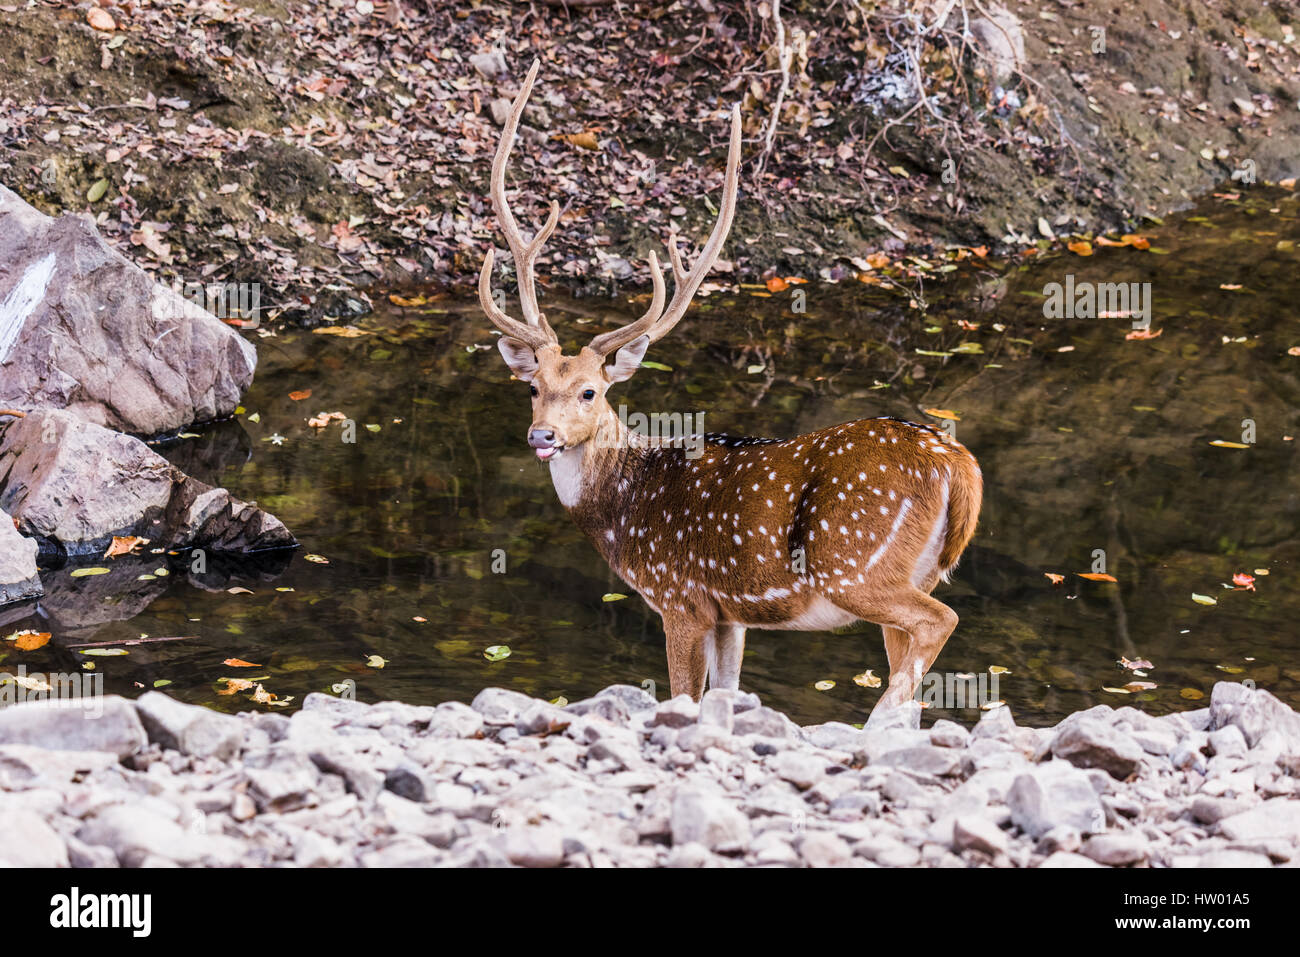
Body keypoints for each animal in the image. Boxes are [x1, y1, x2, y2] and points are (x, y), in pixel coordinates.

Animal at [483, 61, 977, 717]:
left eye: (591, 391)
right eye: (533, 388)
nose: (542, 435)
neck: (625, 509)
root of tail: (960, 466)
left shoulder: (681, 596)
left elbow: (683, 697)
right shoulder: (730, 614)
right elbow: (726, 693)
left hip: (855, 565)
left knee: (938, 622)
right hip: (909, 570)